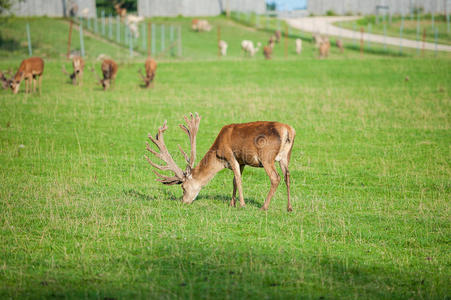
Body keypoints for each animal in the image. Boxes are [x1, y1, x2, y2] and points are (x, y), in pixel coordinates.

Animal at [145, 113, 298, 212]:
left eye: (183, 187)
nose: (184, 201)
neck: (218, 155)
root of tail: (288, 131)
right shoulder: (241, 161)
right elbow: (234, 181)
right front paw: (232, 203)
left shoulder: (231, 155)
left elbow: (238, 179)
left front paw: (242, 205)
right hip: (286, 156)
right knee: (287, 176)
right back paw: (289, 208)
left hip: (266, 157)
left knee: (275, 178)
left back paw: (264, 207)